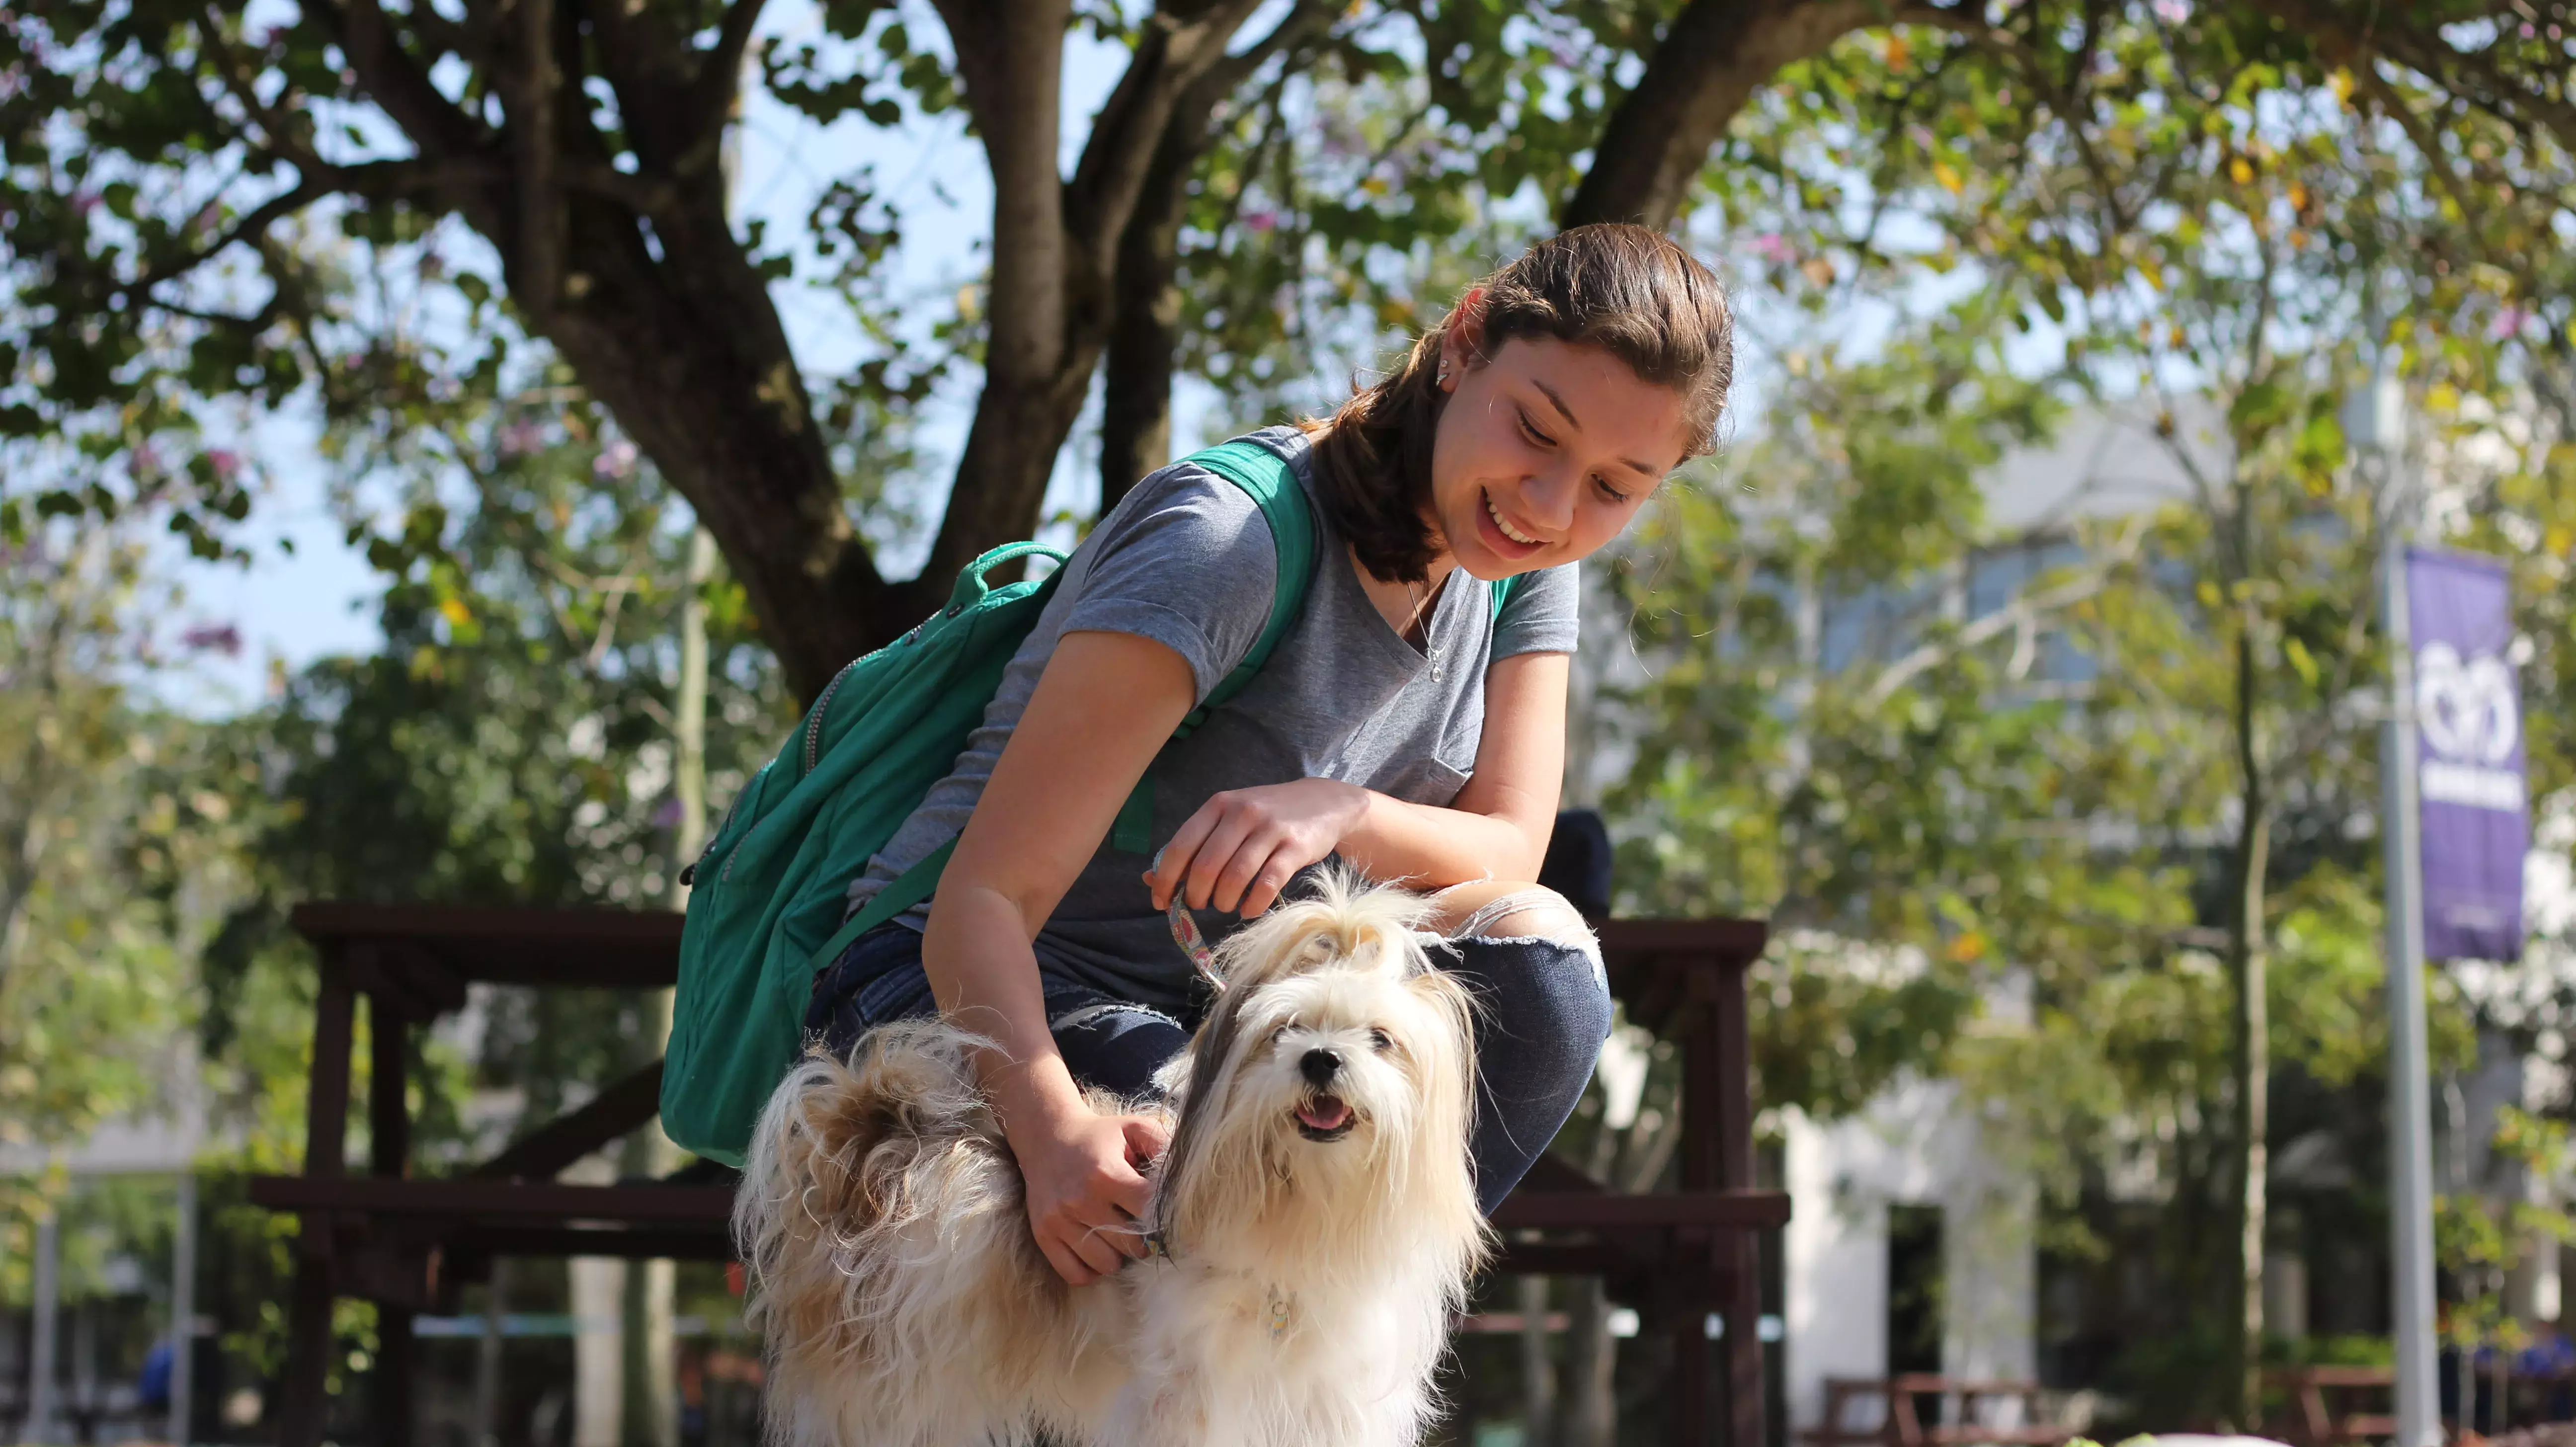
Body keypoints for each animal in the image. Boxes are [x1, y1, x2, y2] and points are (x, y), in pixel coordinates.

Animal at [726, 865, 1494, 1442]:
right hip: (901, 1384)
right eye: (1284, 1031)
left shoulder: (1330, 1399)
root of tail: (872, 1135)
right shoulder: (1190, 1397)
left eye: (1382, 1040)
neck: (1309, 1205)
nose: (1322, 1059)